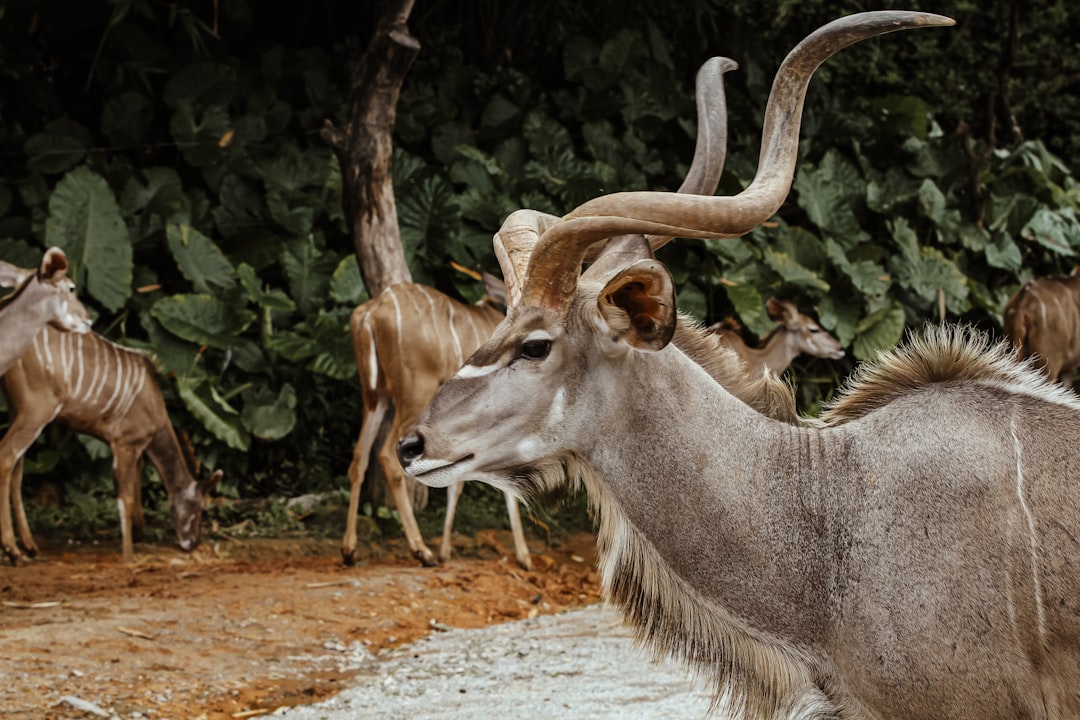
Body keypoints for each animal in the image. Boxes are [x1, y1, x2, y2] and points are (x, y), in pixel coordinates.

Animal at [0, 323, 221, 565]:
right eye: (201, 508)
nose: (192, 543)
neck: (156, 410)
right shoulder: (125, 443)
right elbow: (126, 498)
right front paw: (128, 554)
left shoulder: (135, 450)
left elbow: (135, 486)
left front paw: (138, 533)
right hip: (36, 412)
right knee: (7, 457)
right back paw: (13, 551)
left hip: (16, 410)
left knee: (17, 468)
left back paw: (29, 546)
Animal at [345, 55, 743, 569]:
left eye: (532, 345)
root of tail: (370, 311)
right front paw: (512, 553)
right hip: (407, 397)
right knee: (385, 462)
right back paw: (420, 550)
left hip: (377, 397)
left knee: (359, 457)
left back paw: (354, 549)